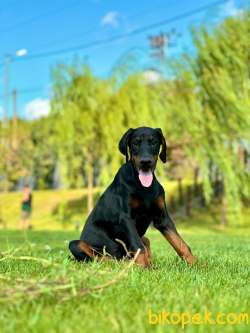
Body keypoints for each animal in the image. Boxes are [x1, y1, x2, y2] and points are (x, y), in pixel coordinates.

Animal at [69, 125, 197, 268]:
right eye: (135, 143)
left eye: (153, 142)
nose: (145, 162)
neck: (144, 187)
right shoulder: (126, 218)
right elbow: (138, 246)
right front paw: (145, 268)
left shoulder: (163, 218)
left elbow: (180, 243)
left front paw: (197, 265)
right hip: (77, 245)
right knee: (102, 258)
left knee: (144, 242)